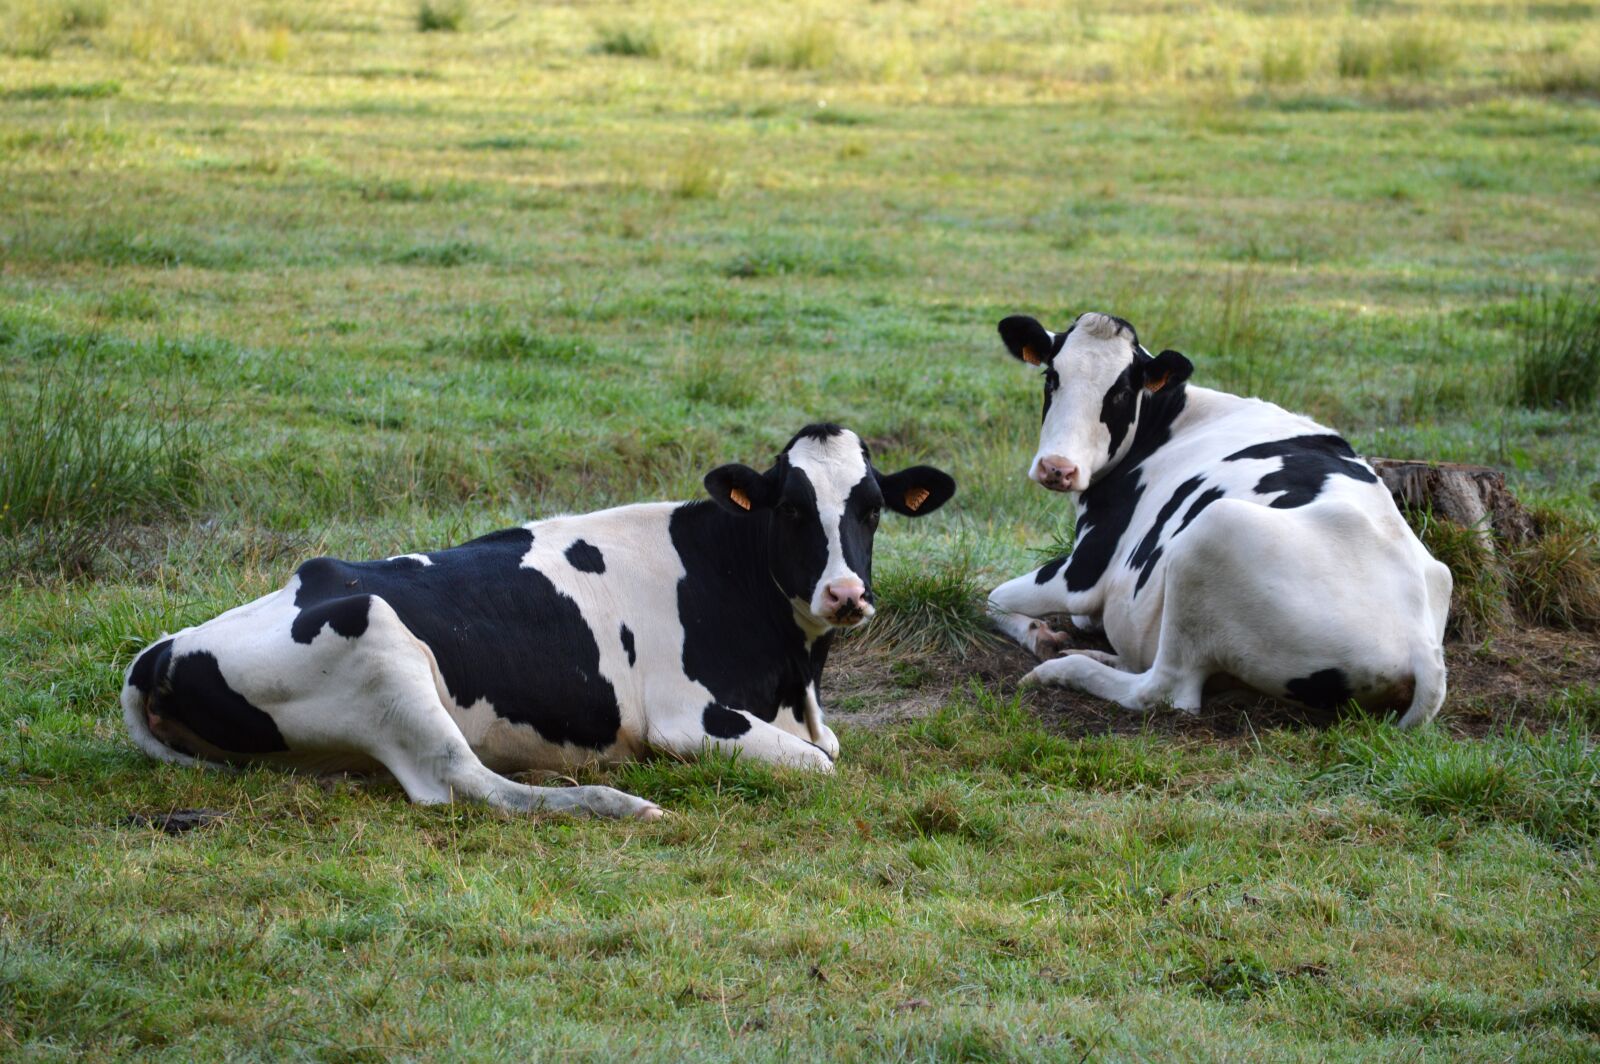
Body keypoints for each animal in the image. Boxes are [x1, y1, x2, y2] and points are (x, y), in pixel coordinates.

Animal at [124, 422, 953, 812]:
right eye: (789, 508)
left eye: (871, 509)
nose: (845, 594)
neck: (792, 673)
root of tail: (161, 648)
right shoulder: (688, 716)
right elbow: (820, 764)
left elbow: (829, 746)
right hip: (379, 647)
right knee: (468, 784)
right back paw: (617, 802)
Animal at [985, 307, 1452, 723]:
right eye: (1052, 377)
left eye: (1118, 392)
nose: (1057, 468)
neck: (1172, 419)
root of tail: (1421, 647)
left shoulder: (1084, 570)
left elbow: (993, 597)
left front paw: (1040, 637)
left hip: (1211, 531)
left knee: (1164, 690)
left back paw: (1066, 669)